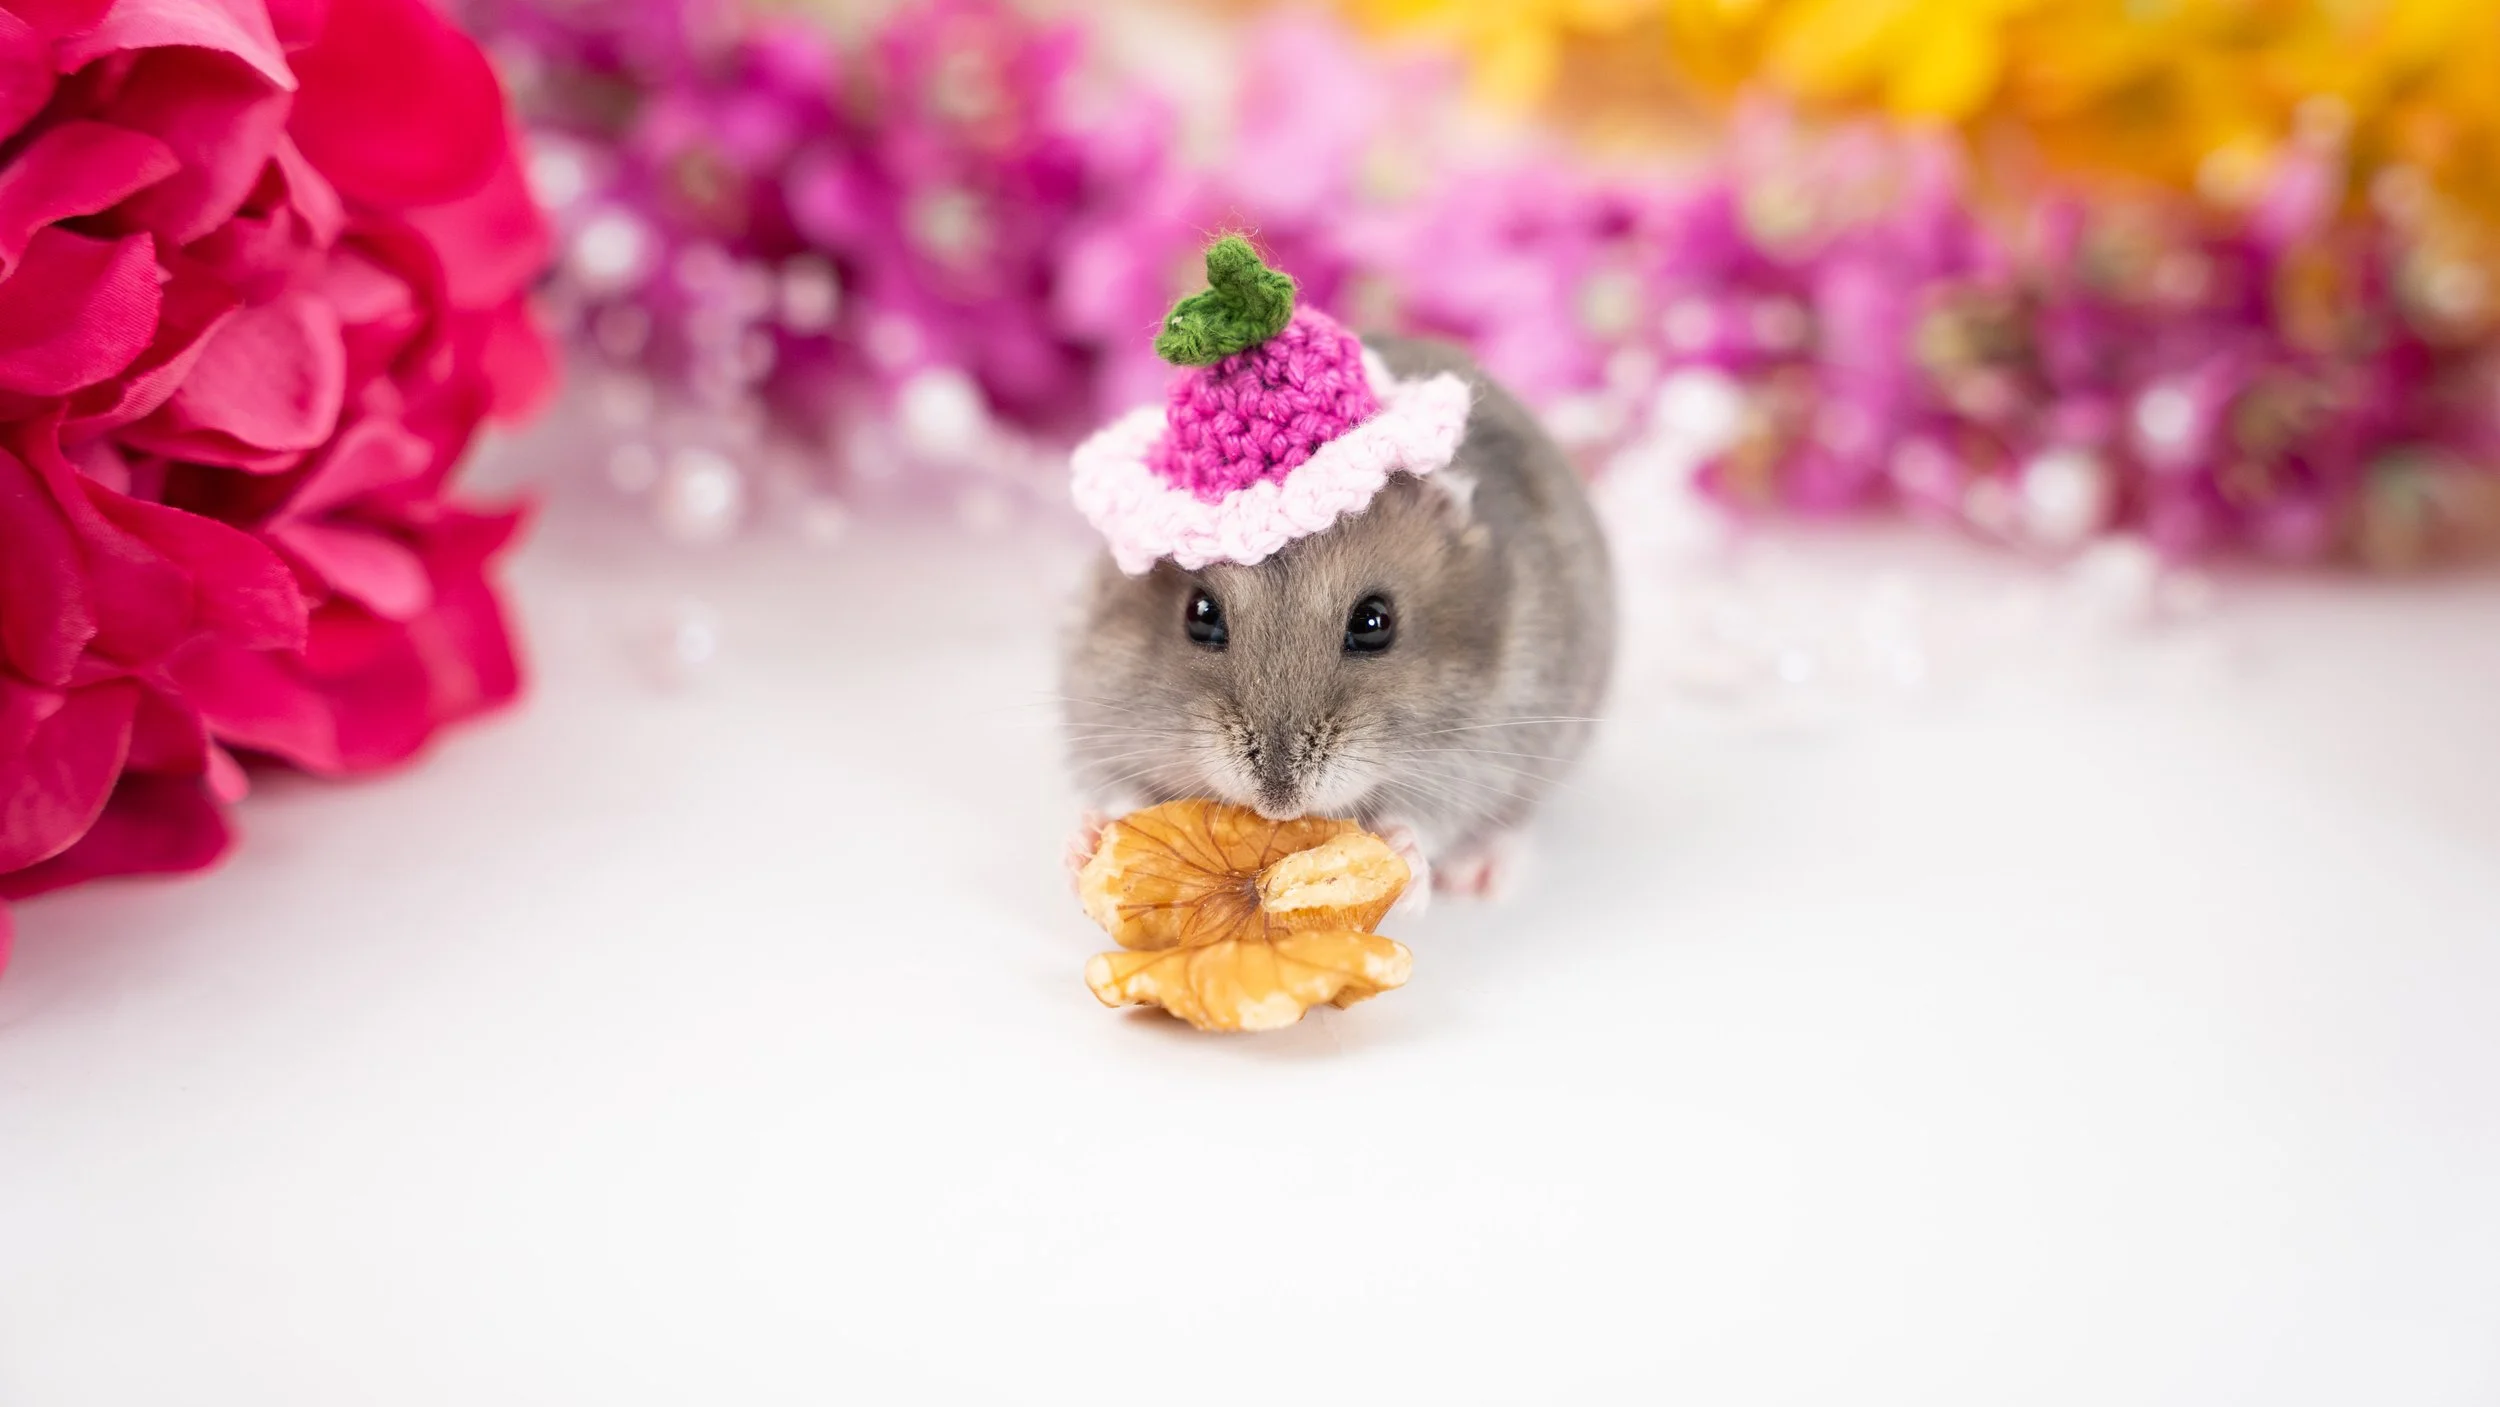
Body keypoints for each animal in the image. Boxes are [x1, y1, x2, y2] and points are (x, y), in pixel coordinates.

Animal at [1060, 335, 1615, 902]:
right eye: (1201, 615)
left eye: (1374, 623)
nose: (1279, 802)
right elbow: (1119, 790)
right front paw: (1085, 842)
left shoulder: (1485, 750)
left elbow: (1428, 820)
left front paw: (1407, 857)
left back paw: (1478, 874)